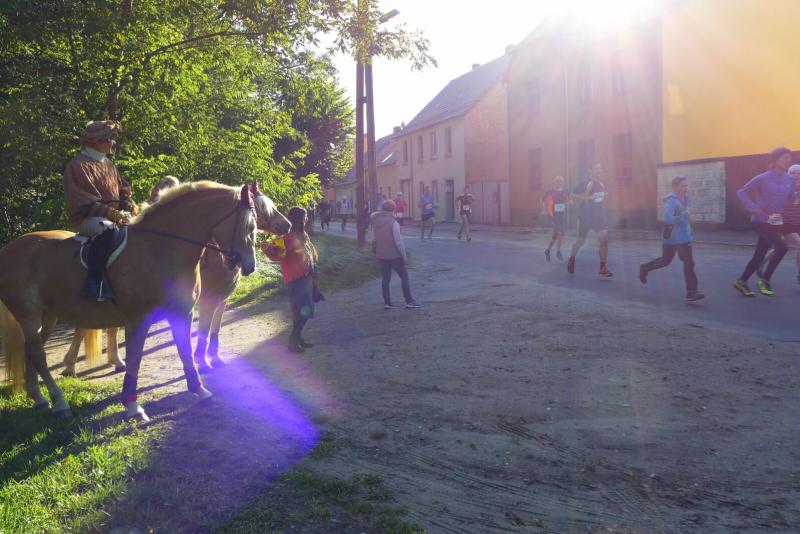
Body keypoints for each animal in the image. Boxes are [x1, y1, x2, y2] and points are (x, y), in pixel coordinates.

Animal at [0, 182, 263, 421]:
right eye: (250, 225)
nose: (249, 265)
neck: (159, 250)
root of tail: (9, 250)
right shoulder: (137, 319)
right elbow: (135, 358)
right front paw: (133, 406)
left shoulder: (182, 313)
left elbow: (185, 350)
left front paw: (199, 390)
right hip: (29, 315)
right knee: (38, 353)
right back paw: (59, 400)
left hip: (48, 315)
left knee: (32, 350)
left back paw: (39, 397)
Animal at [59, 182, 289, 376]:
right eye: (260, 209)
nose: (286, 225)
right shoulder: (207, 300)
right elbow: (204, 330)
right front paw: (202, 361)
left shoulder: (221, 300)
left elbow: (214, 329)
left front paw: (214, 358)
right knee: (83, 329)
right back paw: (70, 365)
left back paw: (115, 361)